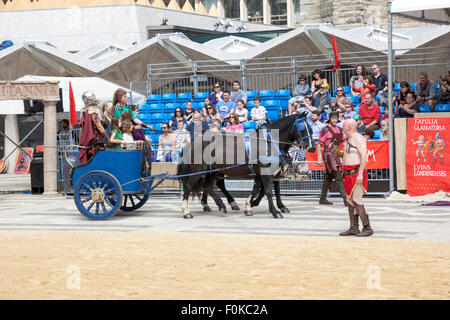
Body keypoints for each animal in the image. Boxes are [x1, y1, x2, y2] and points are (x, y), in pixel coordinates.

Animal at [178, 112, 314, 218]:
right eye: (302, 129)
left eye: (311, 129)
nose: (312, 148)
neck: (269, 142)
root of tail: (193, 143)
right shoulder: (265, 171)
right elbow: (268, 191)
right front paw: (275, 211)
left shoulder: (264, 172)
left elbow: (257, 189)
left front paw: (249, 205)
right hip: (199, 170)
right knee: (190, 186)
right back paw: (187, 211)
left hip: (213, 170)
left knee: (208, 185)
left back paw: (221, 204)